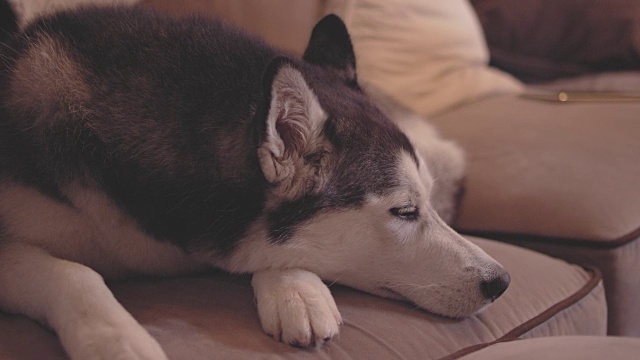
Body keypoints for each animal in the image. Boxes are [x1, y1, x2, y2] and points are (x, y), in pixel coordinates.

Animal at [0, 6, 510, 360]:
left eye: (427, 200)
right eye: (404, 211)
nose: (502, 281)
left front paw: (296, 291)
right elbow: (74, 273)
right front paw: (117, 340)